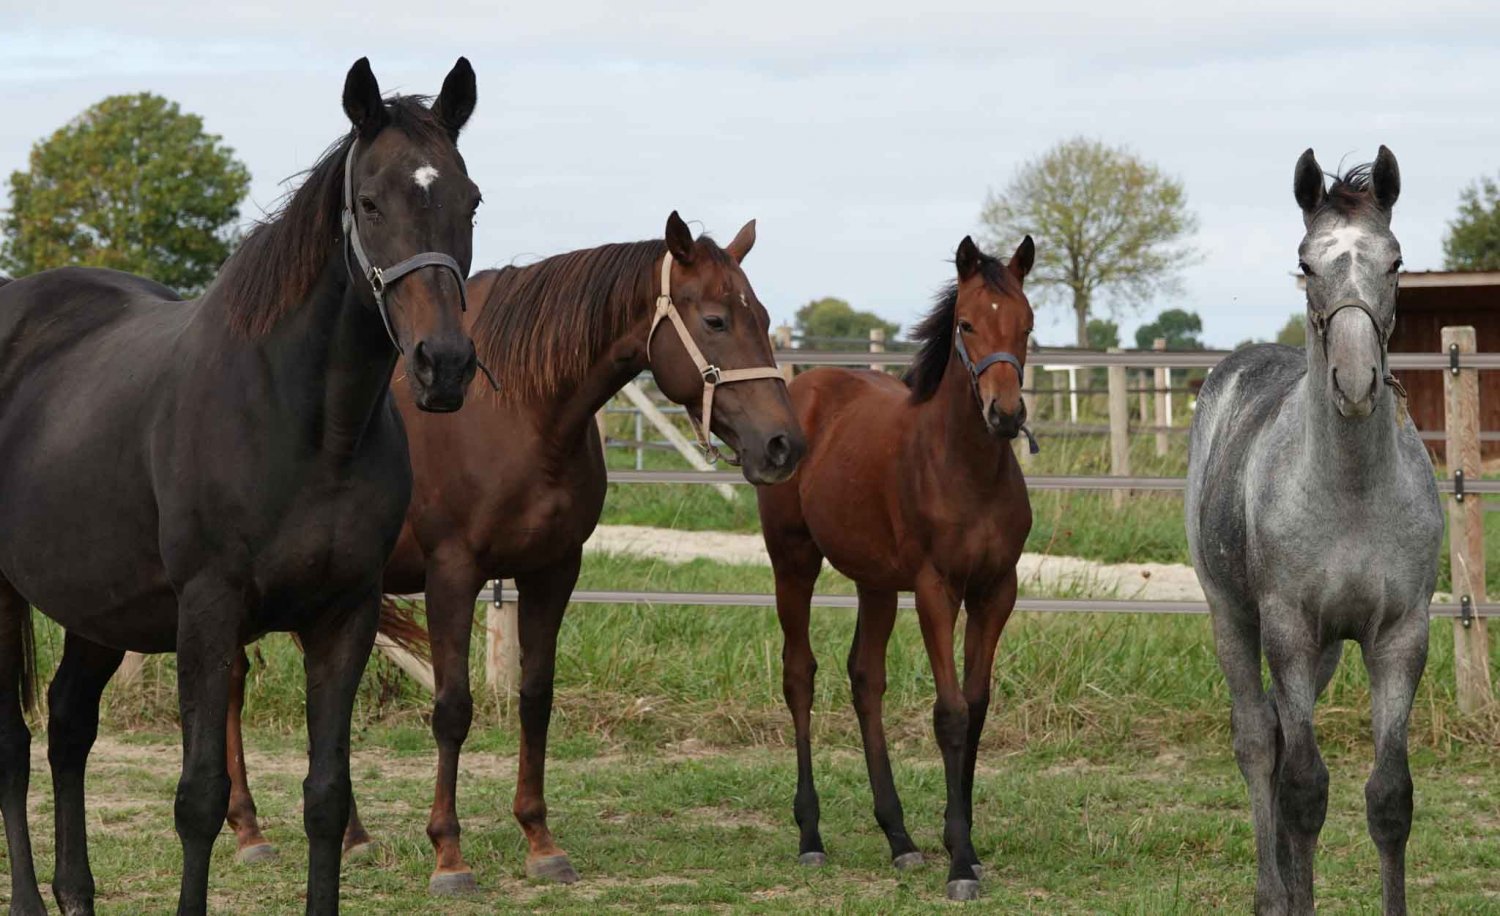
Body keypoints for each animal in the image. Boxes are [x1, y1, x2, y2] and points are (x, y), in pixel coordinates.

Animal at [0, 58, 480, 915]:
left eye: (471, 201)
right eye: (369, 202)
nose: (445, 365)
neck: (306, 425)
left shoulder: (344, 615)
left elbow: (327, 798)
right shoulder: (209, 609)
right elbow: (200, 797)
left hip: (98, 603)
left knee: (67, 727)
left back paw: (76, 892)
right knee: (13, 743)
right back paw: (27, 898)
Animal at [220, 212, 807, 893]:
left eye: (763, 317)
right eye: (715, 320)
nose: (784, 445)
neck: (519, 413)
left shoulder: (553, 571)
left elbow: (536, 698)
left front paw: (540, 840)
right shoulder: (452, 575)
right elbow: (452, 709)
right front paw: (449, 854)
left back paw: (352, 836)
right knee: (232, 682)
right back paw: (249, 831)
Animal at [757, 235, 1036, 901]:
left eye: (1028, 323)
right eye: (966, 323)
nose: (1005, 414)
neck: (965, 468)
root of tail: (803, 390)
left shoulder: (996, 591)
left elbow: (977, 707)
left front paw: (964, 847)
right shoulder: (936, 589)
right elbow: (950, 713)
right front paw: (960, 862)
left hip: (877, 583)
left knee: (866, 679)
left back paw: (899, 838)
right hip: (793, 561)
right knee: (799, 675)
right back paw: (811, 837)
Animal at [1185, 147, 1442, 916]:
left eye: (1395, 260)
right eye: (1305, 262)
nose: (1355, 383)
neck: (1350, 491)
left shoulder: (1399, 637)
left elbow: (1390, 798)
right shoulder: (1289, 630)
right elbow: (1303, 789)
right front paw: (1294, 894)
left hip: (1327, 649)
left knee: (1273, 728)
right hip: (1235, 617)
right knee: (1256, 739)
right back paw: (1274, 892)